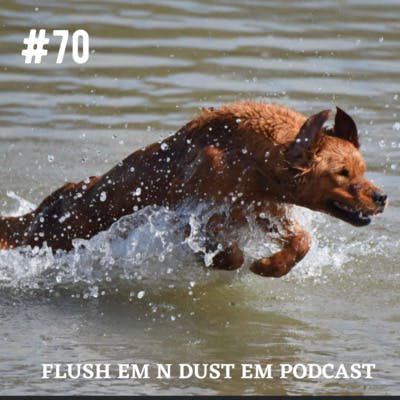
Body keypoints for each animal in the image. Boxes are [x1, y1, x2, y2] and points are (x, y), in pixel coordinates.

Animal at [0, 103, 388, 276]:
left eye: (363, 169)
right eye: (342, 173)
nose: (382, 197)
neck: (251, 159)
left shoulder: (264, 208)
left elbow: (301, 241)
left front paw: (270, 265)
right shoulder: (192, 213)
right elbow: (228, 251)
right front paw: (221, 260)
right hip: (60, 232)